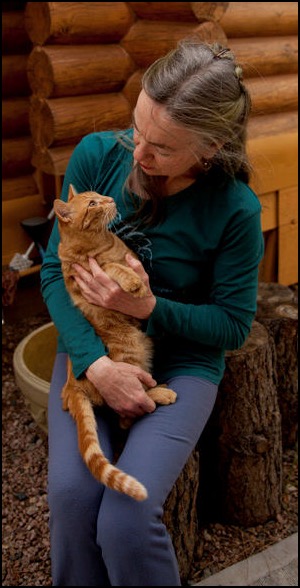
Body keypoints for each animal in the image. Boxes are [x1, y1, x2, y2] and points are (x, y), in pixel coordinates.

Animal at [53, 185, 177, 500]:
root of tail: (70, 388)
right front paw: (134, 283)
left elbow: (133, 265)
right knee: (129, 412)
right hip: (132, 350)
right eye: (93, 204)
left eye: (97, 194)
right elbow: (114, 268)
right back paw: (161, 393)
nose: (109, 200)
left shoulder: (129, 256)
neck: (103, 241)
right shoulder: (89, 272)